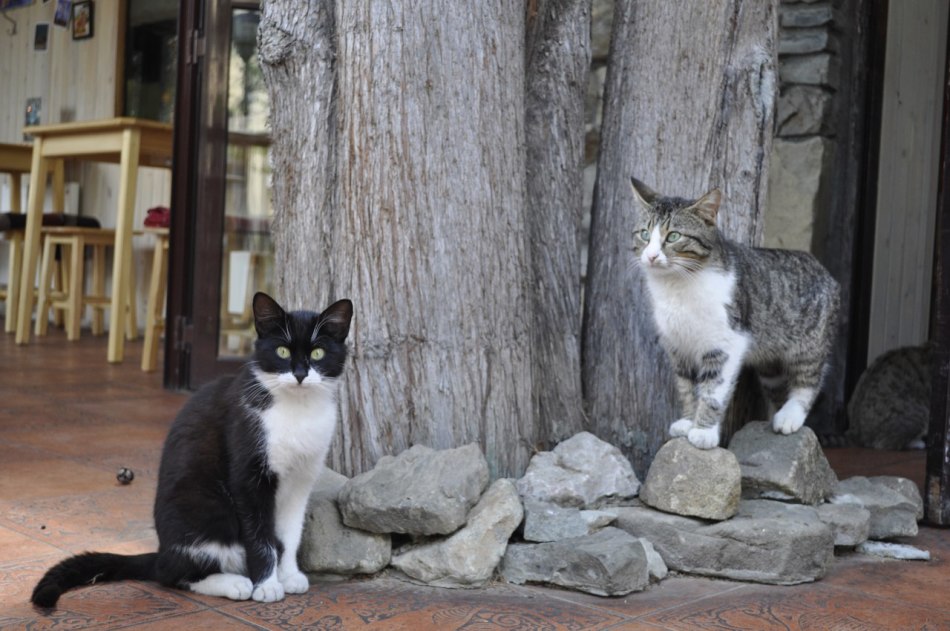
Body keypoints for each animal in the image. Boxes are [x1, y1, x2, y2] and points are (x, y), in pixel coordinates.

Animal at [33, 292, 356, 608]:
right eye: (282, 352)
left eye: (318, 353)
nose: (300, 374)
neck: (297, 409)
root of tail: (162, 550)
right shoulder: (247, 474)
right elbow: (260, 535)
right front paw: (267, 585)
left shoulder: (302, 478)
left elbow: (290, 533)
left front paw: (289, 576)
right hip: (205, 511)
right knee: (172, 573)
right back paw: (234, 583)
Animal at [632, 179, 840, 450]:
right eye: (644, 234)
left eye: (674, 236)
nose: (651, 256)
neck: (676, 287)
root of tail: (825, 271)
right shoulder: (678, 346)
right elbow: (686, 387)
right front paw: (688, 422)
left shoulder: (726, 342)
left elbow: (713, 389)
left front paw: (704, 432)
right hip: (770, 359)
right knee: (776, 386)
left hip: (808, 344)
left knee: (809, 379)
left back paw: (790, 416)